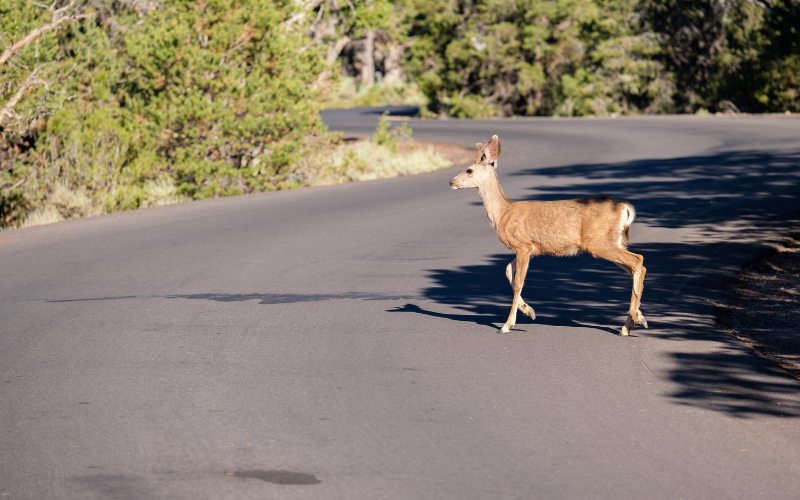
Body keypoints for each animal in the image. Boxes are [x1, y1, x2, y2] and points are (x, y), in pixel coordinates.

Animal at [449, 135, 647, 336]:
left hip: (599, 242)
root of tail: (625, 208)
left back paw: (636, 319)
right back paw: (629, 325)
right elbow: (508, 271)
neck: (503, 213)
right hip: (614, 242)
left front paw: (507, 324)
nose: (451, 182)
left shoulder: (523, 245)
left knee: (638, 260)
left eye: (469, 170)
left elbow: (519, 282)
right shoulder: (529, 249)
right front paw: (528, 310)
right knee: (637, 267)